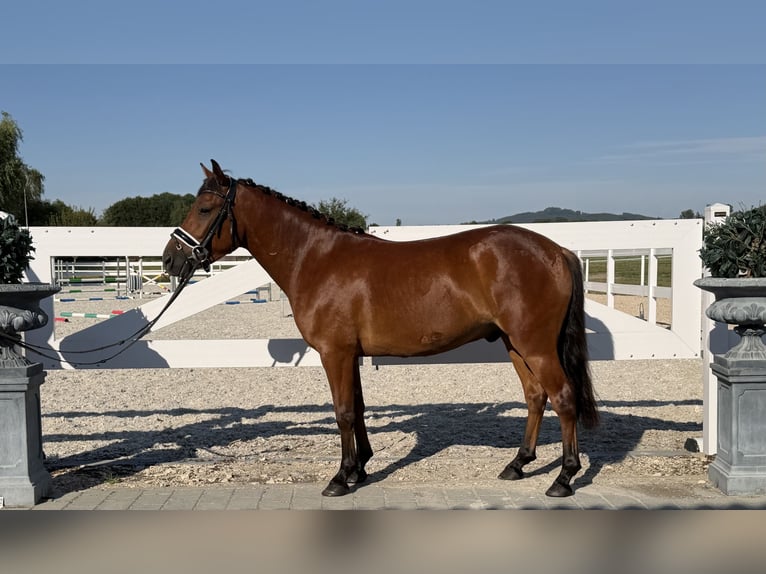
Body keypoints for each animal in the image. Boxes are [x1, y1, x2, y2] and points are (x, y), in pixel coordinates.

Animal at [162, 160, 599, 498]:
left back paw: (564, 478)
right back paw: (518, 464)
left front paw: (340, 478)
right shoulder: (350, 354)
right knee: (535, 396)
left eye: (205, 208)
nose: (169, 260)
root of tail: (556, 250)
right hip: (514, 343)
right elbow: (357, 408)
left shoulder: (335, 353)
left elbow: (342, 412)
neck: (316, 259)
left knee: (563, 397)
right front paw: (360, 469)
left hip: (535, 345)